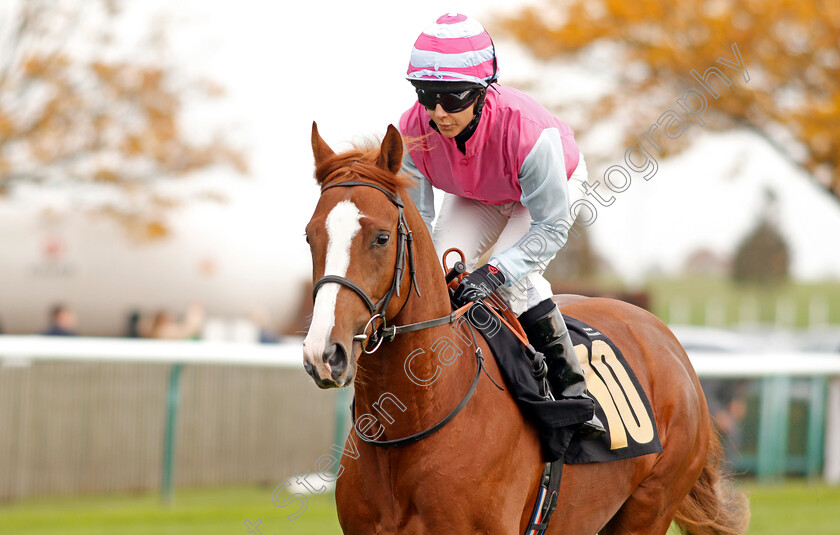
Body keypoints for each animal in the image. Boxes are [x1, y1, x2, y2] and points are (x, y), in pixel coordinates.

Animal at [302, 122, 748, 535]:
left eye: (380, 238)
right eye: (309, 236)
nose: (324, 353)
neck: (411, 422)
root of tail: (668, 340)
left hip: (650, 505)